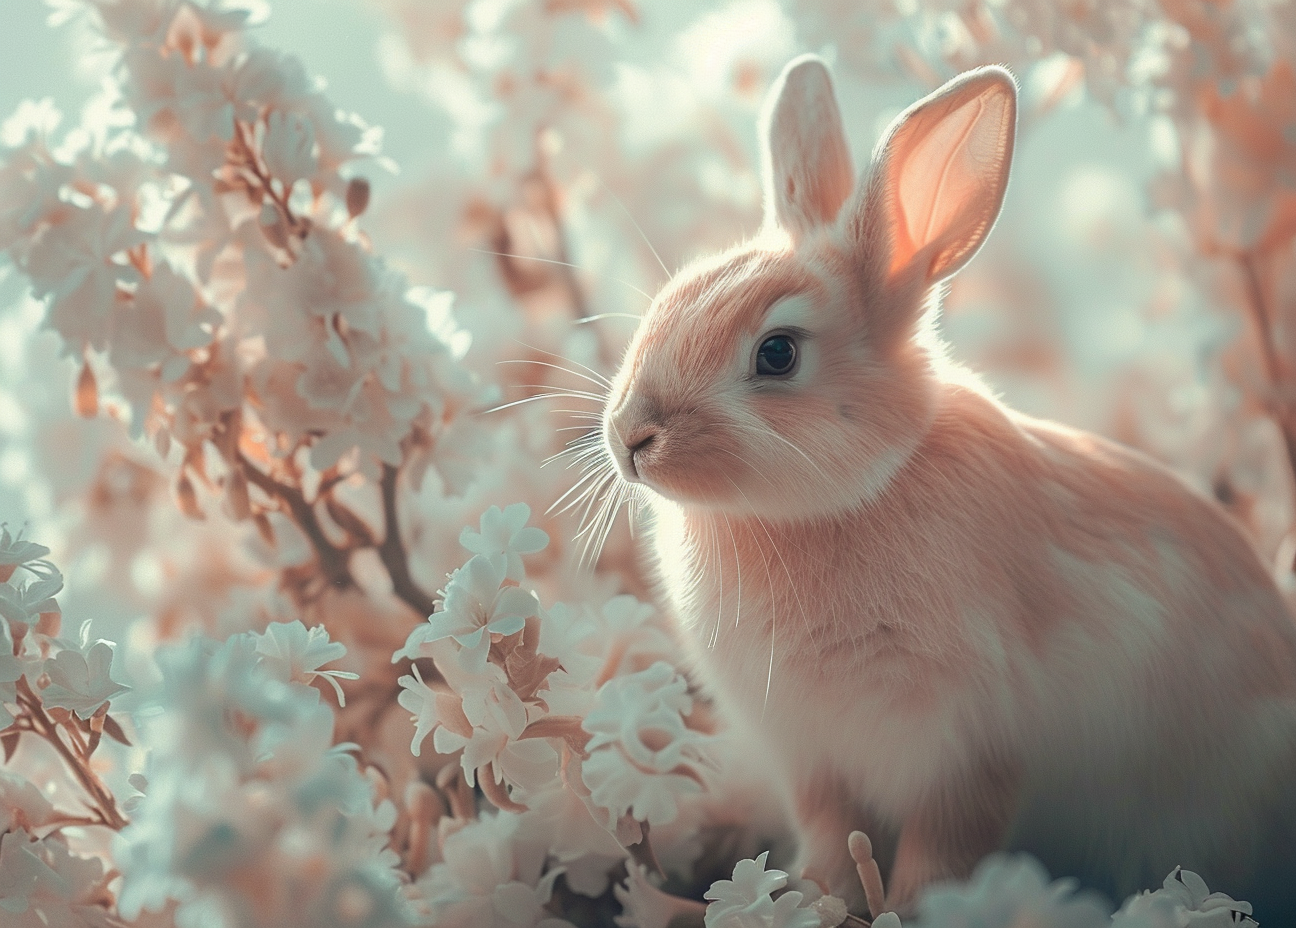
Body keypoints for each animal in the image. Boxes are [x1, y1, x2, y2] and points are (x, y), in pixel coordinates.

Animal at [598, 55, 1296, 922]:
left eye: (777, 354)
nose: (630, 437)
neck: (848, 497)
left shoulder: (966, 746)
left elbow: (943, 847)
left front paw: (915, 906)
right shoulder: (814, 760)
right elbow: (830, 836)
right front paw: (810, 897)